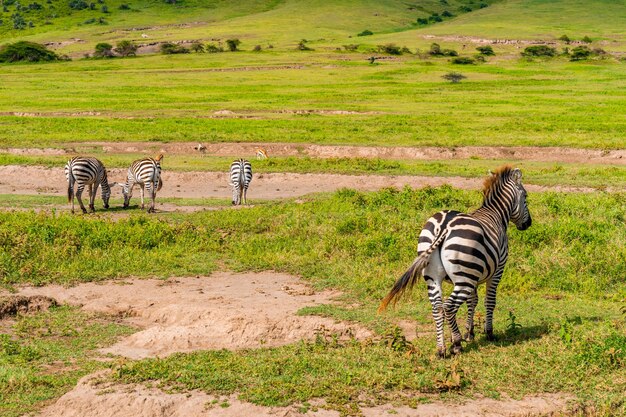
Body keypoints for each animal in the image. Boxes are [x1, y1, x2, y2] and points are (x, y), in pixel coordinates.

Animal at [378, 166, 528, 358]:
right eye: (526, 197)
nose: (528, 224)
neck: (496, 214)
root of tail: (444, 226)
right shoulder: (497, 270)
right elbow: (489, 301)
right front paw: (488, 333)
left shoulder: (474, 276)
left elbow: (473, 301)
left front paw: (469, 333)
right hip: (464, 278)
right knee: (448, 307)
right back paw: (456, 345)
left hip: (436, 275)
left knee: (437, 307)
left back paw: (441, 349)